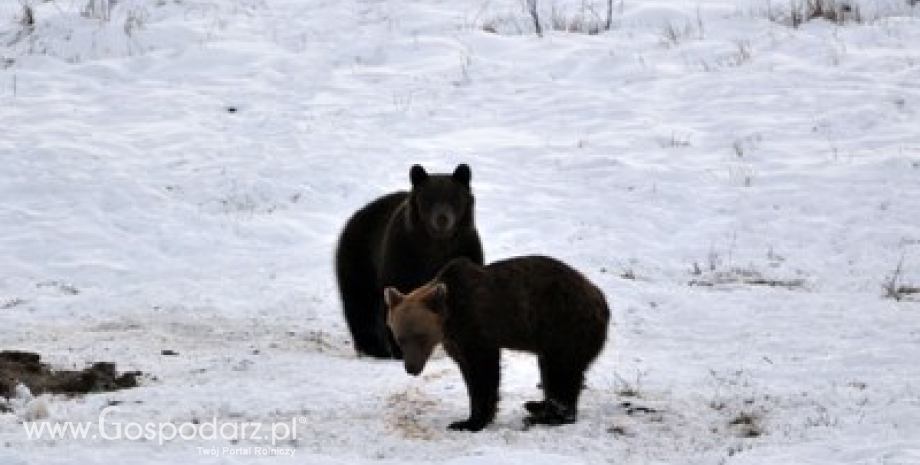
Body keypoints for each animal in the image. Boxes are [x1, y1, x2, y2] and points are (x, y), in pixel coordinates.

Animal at [334, 164, 486, 358]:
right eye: (429, 198)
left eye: (454, 197)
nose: (442, 218)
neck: (437, 244)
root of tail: (353, 217)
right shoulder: (405, 255)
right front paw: (401, 348)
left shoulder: (464, 250)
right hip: (360, 258)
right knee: (361, 303)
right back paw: (374, 348)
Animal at [382, 256, 612, 430]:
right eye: (400, 338)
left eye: (420, 335)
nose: (411, 368)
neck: (451, 319)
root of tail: (602, 300)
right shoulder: (456, 341)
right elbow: (468, 372)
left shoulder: (477, 327)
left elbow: (483, 373)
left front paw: (469, 422)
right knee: (550, 370)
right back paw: (536, 405)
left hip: (564, 326)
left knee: (561, 372)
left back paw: (546, 416)